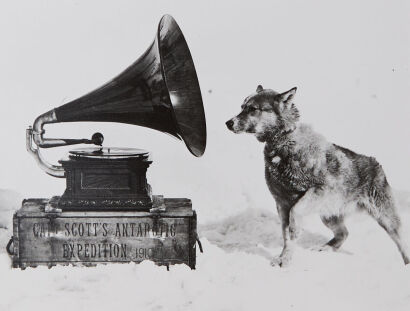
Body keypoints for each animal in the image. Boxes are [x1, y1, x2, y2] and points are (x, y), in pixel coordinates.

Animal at [226, 86, 408, 268]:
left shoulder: (318, 191)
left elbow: (295, 214)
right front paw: (284, 258)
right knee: (343, 233)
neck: (284, 143)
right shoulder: (282, 204)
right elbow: (286, 236)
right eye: (242, 107)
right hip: (328, 215)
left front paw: (295, 233)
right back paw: (325, 248)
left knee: (402, 243)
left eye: (253, 109)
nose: (228, 123)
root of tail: (376, 163)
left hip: (386, 219)